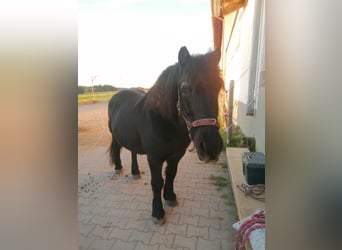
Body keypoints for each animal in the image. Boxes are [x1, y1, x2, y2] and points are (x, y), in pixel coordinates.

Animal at [108, 47, 223, 223]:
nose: (211, 146)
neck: (164, 122)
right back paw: (118, 167)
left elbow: (171, 174)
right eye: (184, 89)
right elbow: (157, 182)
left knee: (133, 151)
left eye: (218, 86)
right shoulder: (154, 158)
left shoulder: (176, 155)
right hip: (114, 135)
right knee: (117, 147)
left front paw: (170, 196)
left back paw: (135, 172)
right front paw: (157, 211)